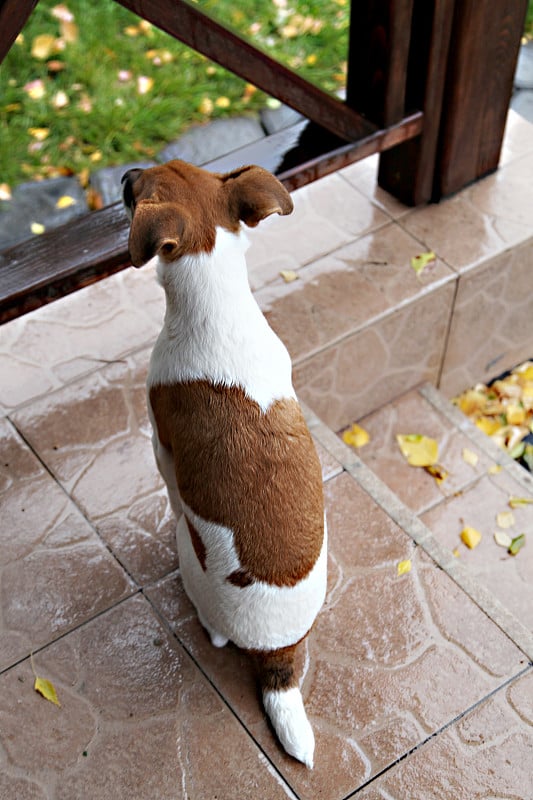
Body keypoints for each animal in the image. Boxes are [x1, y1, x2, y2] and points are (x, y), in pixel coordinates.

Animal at [122, 159, 326, 764]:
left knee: (210, 625)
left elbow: (170, 484)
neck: (216, 298)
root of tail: (279, 653)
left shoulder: (160, 445)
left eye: (136, 189)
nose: (127, 170)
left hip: (191, 563)